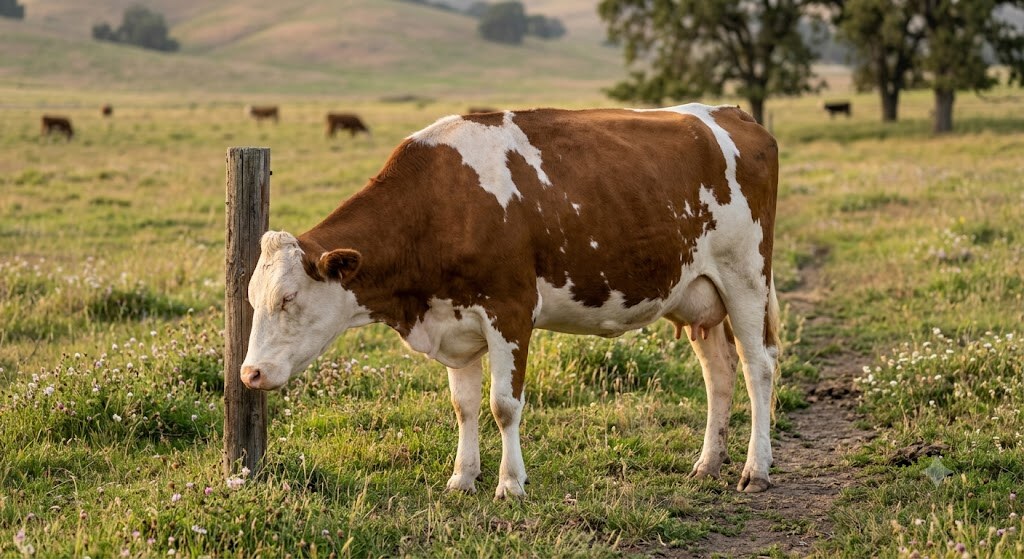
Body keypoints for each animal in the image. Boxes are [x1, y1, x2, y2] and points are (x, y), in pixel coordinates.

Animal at [241, 104, 781, 498]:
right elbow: (463, 406)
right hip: (697, 294)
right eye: (251, 299)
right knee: (718, 374)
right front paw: (462, 478)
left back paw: (756, 469)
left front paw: (510, 484)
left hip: (746, 277)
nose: (250, 374)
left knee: (757, 366)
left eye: (288, 298)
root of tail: (731, 113)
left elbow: (503, 405)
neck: (440, 205)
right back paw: (708, 463)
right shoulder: (453, 320)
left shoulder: (510, 311)